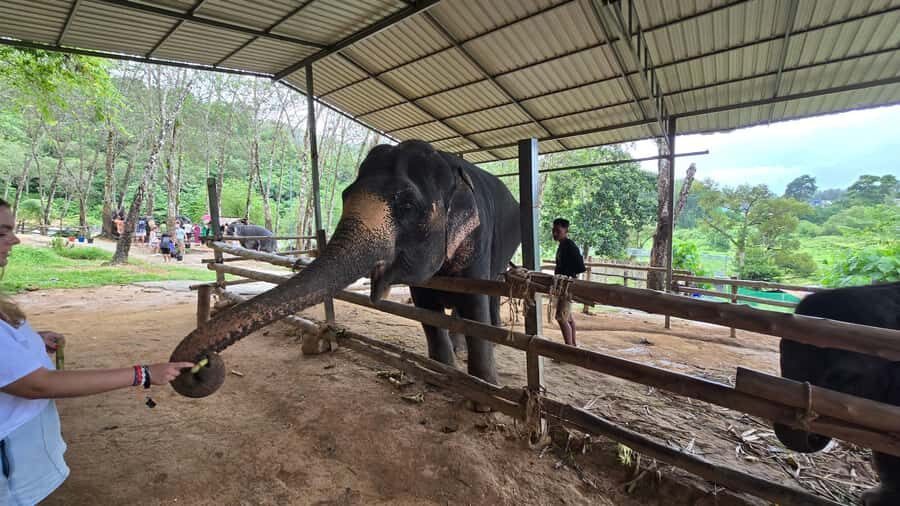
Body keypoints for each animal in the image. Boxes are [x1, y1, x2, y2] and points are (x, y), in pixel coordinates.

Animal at [171, 140, 521, 400]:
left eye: (407, 205)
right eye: (345, 194)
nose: (202, 366)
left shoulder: (480, 238)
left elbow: (474, 302)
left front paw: (484, 395)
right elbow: (426, 309)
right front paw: (441, 378)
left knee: (488, 298)